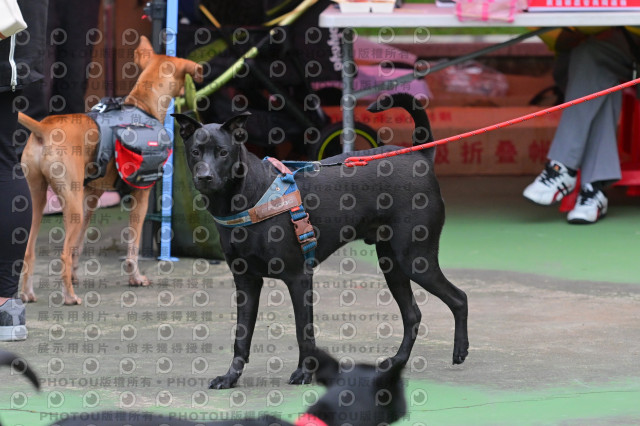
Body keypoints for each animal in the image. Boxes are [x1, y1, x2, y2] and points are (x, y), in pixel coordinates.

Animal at [17, 36, 203, 305]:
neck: (142, 106)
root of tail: (44, 128)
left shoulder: (91, 197)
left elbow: (79, 245)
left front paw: (76, 275)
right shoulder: (141, 195)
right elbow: (132, 245)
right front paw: (135, 278)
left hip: (39, 199)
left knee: (30, 250)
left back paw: (28, 293)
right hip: (70, 201)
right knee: (62, 254)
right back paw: (69, 296)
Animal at [173, 92, 469, 389]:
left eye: (223, 152)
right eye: (195, 152)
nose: (204, 177)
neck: (249, 197)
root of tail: (420, 155)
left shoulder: (299, 278)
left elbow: (303, 332)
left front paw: (304, 372)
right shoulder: (246, 281)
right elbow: (241, 337)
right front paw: (230, 376)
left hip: (415, 260)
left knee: (459, 298)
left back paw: (460, 349)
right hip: (392, 264)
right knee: (412, 314)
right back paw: (397, 362)